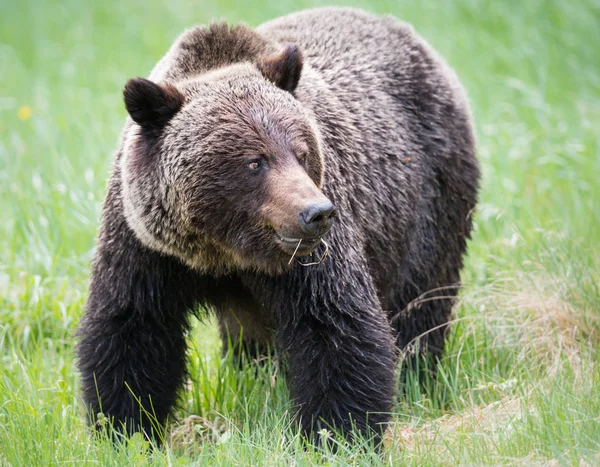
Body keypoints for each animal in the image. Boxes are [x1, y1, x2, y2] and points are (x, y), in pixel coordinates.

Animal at [76, 7, 478, 446]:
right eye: (255, 162)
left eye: (302, 153)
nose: (317, 212)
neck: (223, 252)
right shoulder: (146, 246)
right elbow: (133, 328)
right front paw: (125, 428)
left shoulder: (311, 256)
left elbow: (335, 323)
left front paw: (338, 432)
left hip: (430, 201)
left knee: (421, 298)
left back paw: (417, 374)